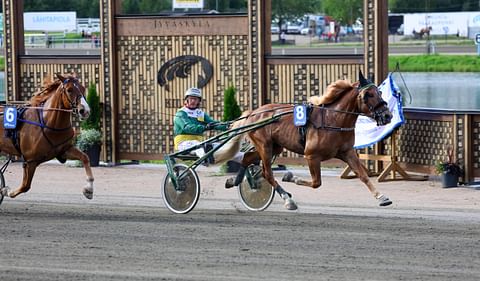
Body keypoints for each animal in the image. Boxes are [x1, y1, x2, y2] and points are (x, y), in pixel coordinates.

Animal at [0, 72, 95, 201]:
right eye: (69, 90)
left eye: (83, 88)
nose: (85, 110)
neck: (49, 123)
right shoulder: (30, 161)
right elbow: (25, 186)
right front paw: (6, 191)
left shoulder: (63, 150)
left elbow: (85, 157)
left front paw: (89, 189)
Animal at [220, 71, 394, 209]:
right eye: (368, 95)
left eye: (379, 92)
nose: (387, 115)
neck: (332, 119)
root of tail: (252, 113)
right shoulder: (311, 156)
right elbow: (316, 183)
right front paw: (291, 177)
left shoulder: (347, 152)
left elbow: (363, 175)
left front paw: (382, 197)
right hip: (265, 146)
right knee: (267, 173)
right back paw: (287, 199)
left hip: (274, 146)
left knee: (248, 158)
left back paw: (235, 181)